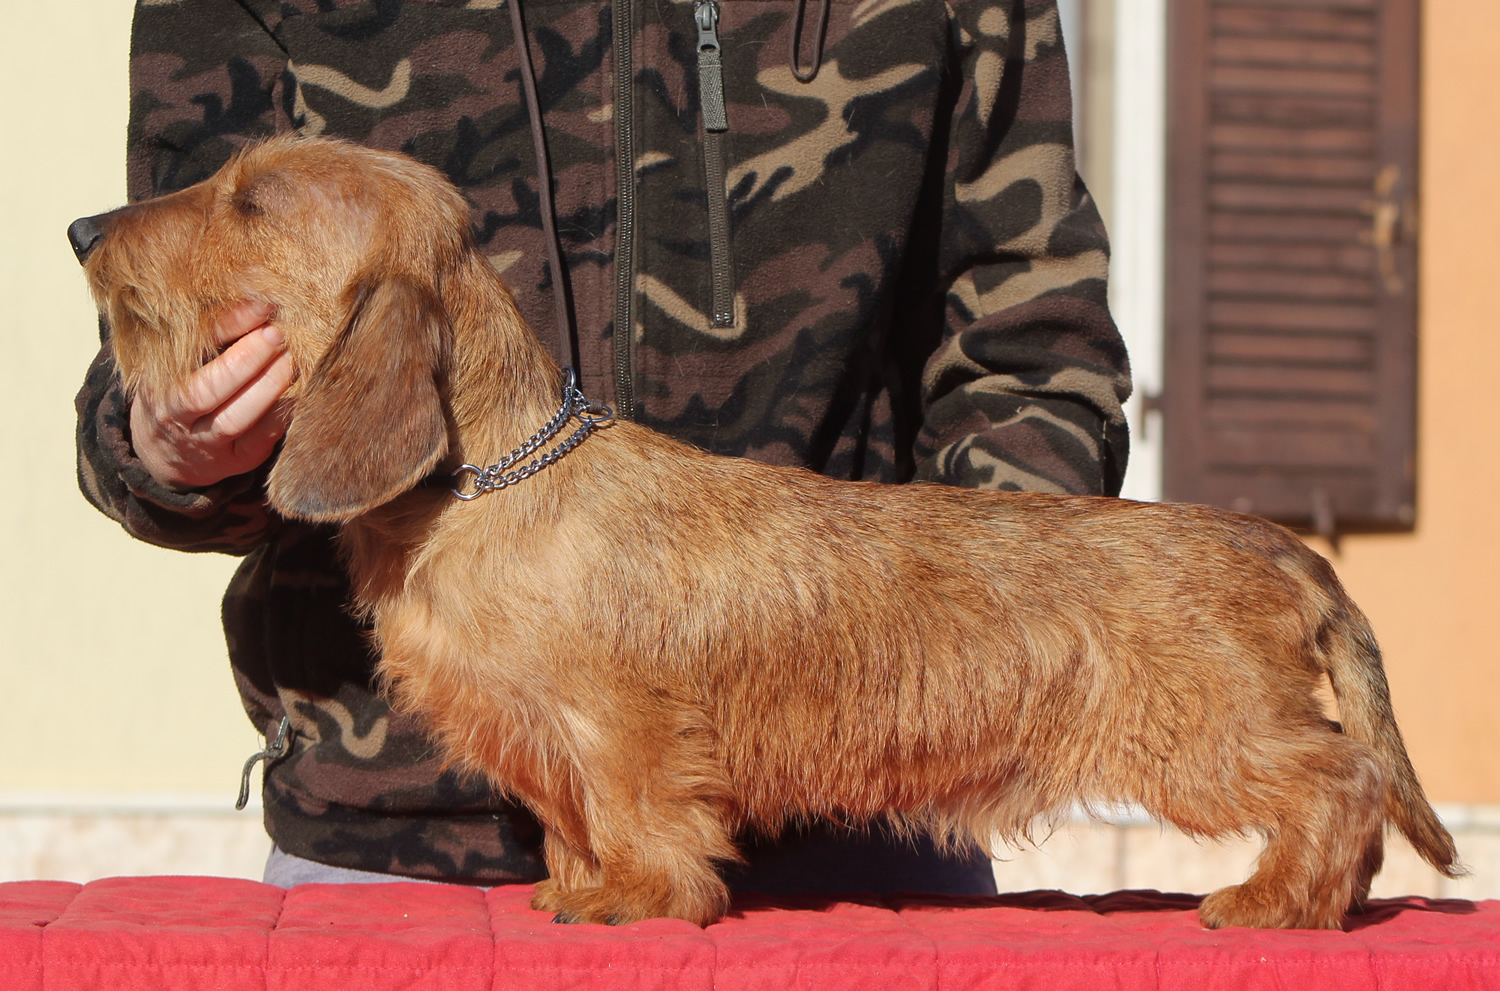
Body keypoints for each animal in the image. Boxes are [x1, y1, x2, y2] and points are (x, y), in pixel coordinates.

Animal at [70, 137, 1452, 929]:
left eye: (251, 202)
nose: (84, 230)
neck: (492, 485)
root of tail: (1287, 549)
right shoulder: (543, 737)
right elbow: (573, 822)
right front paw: (576, 887)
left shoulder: (623, 725)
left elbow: (639, 813)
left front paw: (637, 901)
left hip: (1209, 737)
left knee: (1344, 782)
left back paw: (1273, 904)